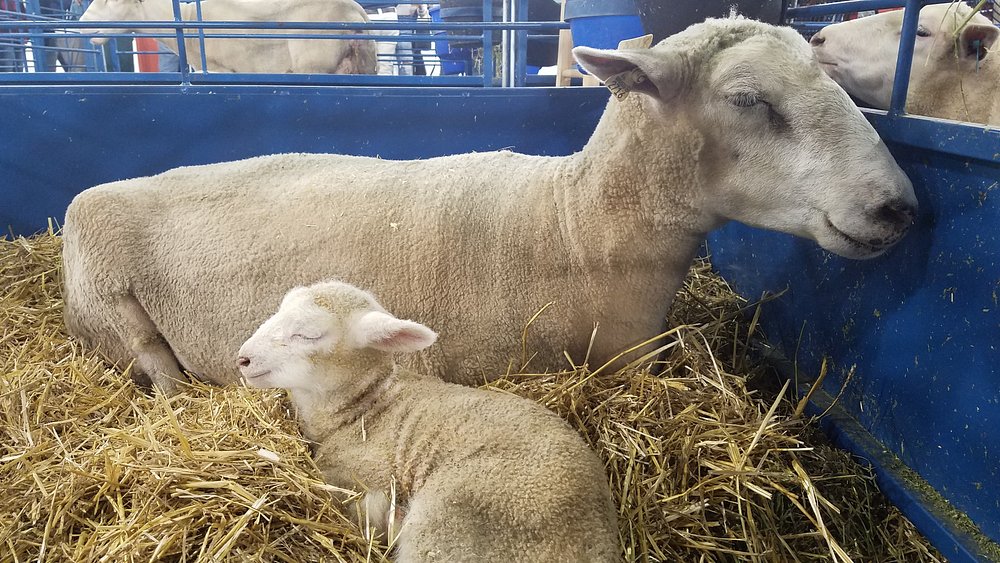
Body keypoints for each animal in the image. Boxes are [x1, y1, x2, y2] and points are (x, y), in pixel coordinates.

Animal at [62, 16, 919, 394]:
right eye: (747, 99)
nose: (898, 207)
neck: (579, 226)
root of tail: (88, 194)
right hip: (110, 309)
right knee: (158, 371)